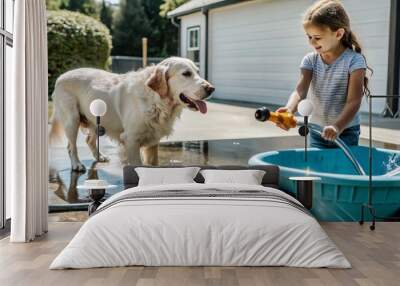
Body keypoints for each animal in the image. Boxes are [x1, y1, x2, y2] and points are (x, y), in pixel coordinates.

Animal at [49, 57, 214, 171]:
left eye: (197, 72)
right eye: (186, 73)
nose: (211, 89)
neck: (156, 100)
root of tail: (60, 77)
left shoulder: (153, 142)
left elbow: (153, 164)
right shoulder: (131, 140)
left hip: (96, 120)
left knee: (89, 140)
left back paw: (99, 156)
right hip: (72, 119)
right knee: (71, 146)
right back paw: (76, 164)